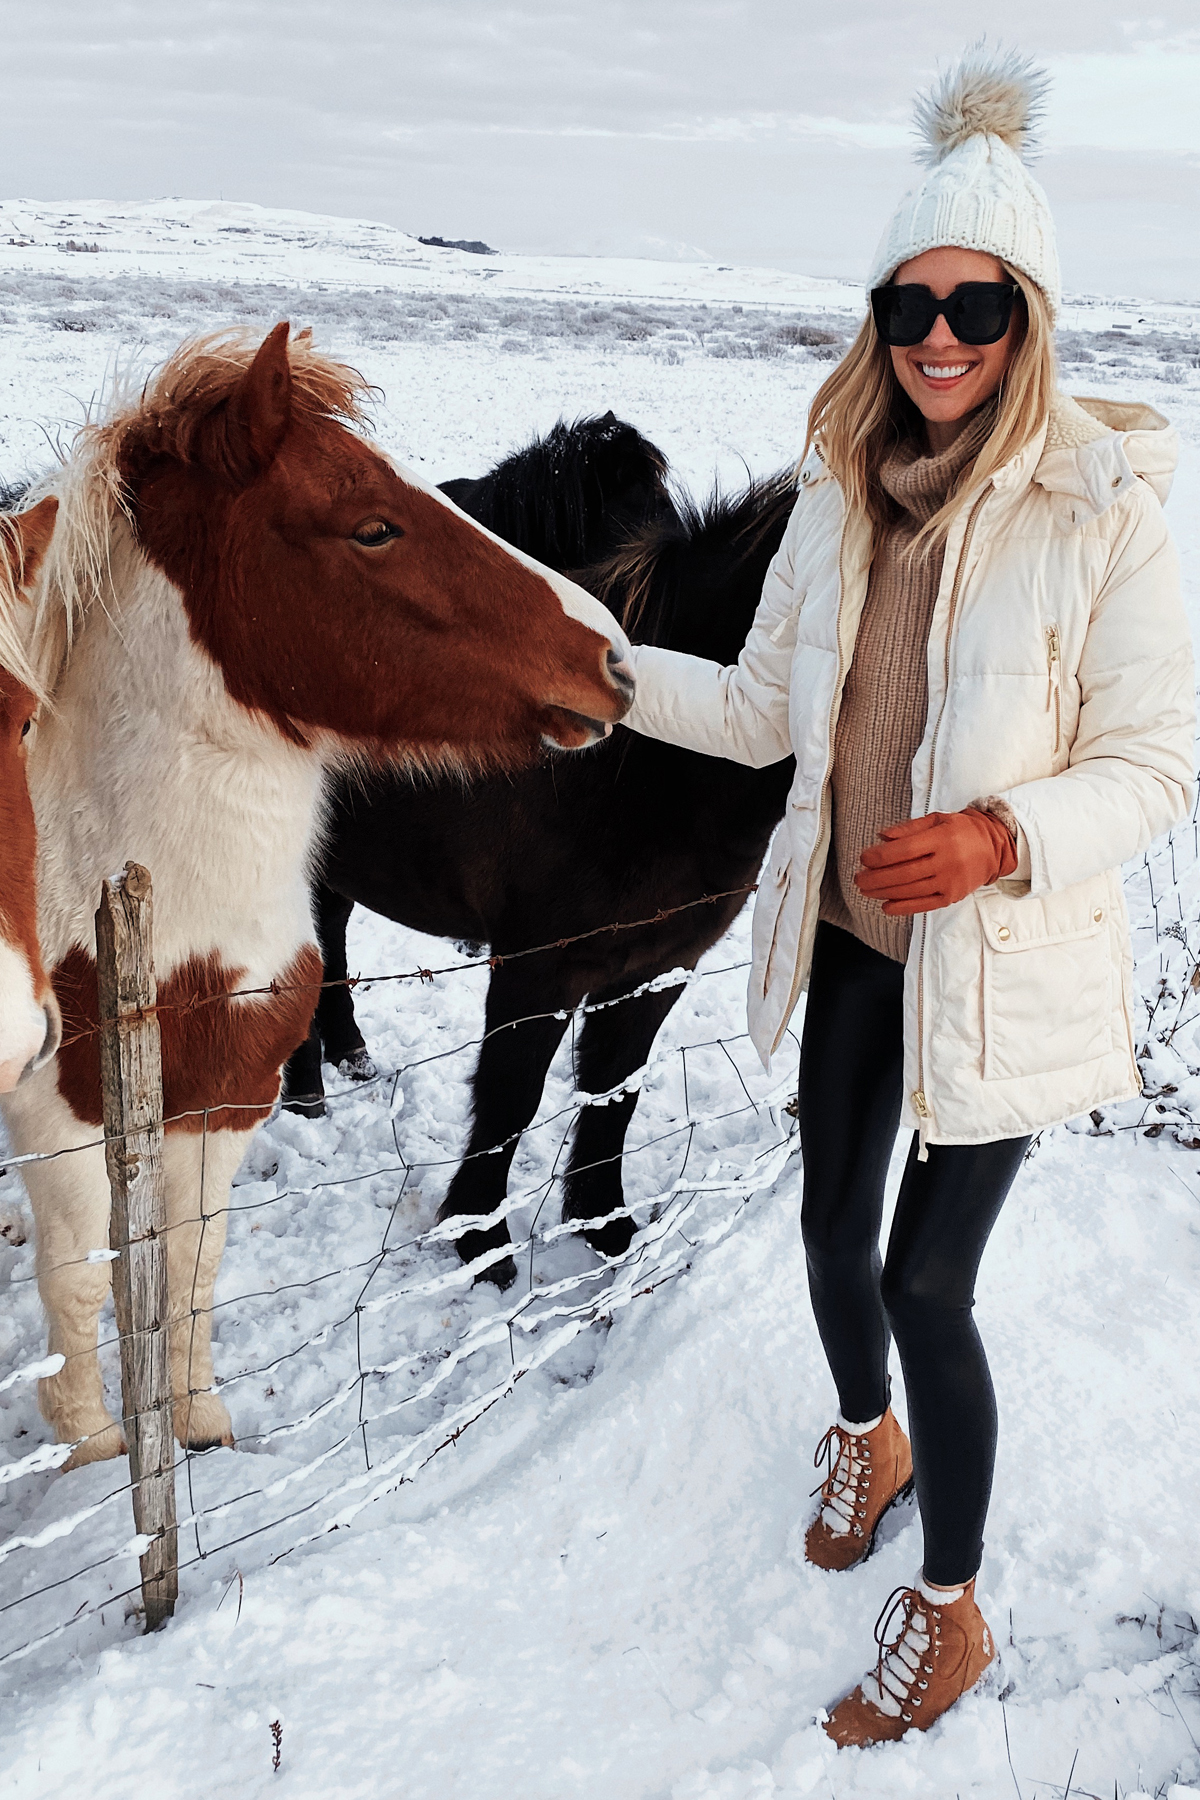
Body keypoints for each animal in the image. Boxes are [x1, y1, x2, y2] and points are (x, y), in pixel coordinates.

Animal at [0, 327, 633, 1461]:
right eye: (373, 526)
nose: (613, 657)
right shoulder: (65, 1121)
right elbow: (80, 1285)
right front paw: (97, 1447)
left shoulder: (225, 1103)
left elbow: (191, 1268)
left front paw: (200, 1425)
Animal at [286, 423, 798, 1296]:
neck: (643, 764)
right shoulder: (537, 969)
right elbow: (511, 1097)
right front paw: (481, 1241)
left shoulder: (658, 967)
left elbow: (613, 1091)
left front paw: (604, 1225)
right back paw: (303, 1095)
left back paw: (343, 1055)